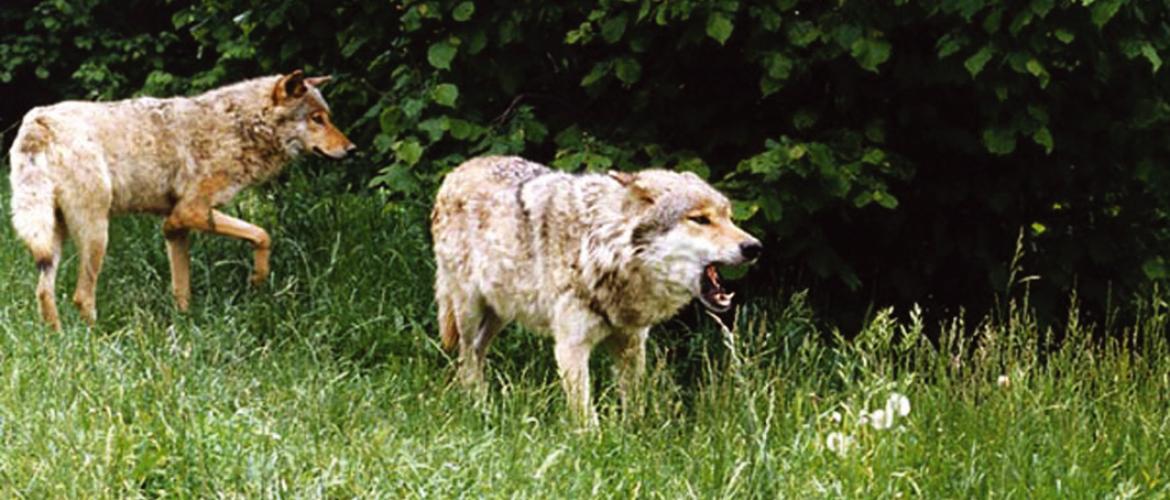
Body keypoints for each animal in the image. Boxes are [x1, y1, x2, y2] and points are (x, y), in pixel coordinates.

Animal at [435, 154, 762, 423]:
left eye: (728, 217)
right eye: (700, 219)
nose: (754, 247)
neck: (601, 248)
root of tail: (458, 171)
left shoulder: (632, 342)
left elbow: (635, 405)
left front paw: (634, 437)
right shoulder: (571, 346)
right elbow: (585, 414)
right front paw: (592, 444)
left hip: (501, 312)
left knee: (476, 352)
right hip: (468, 311)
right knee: (467, 355)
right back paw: (477, 406)